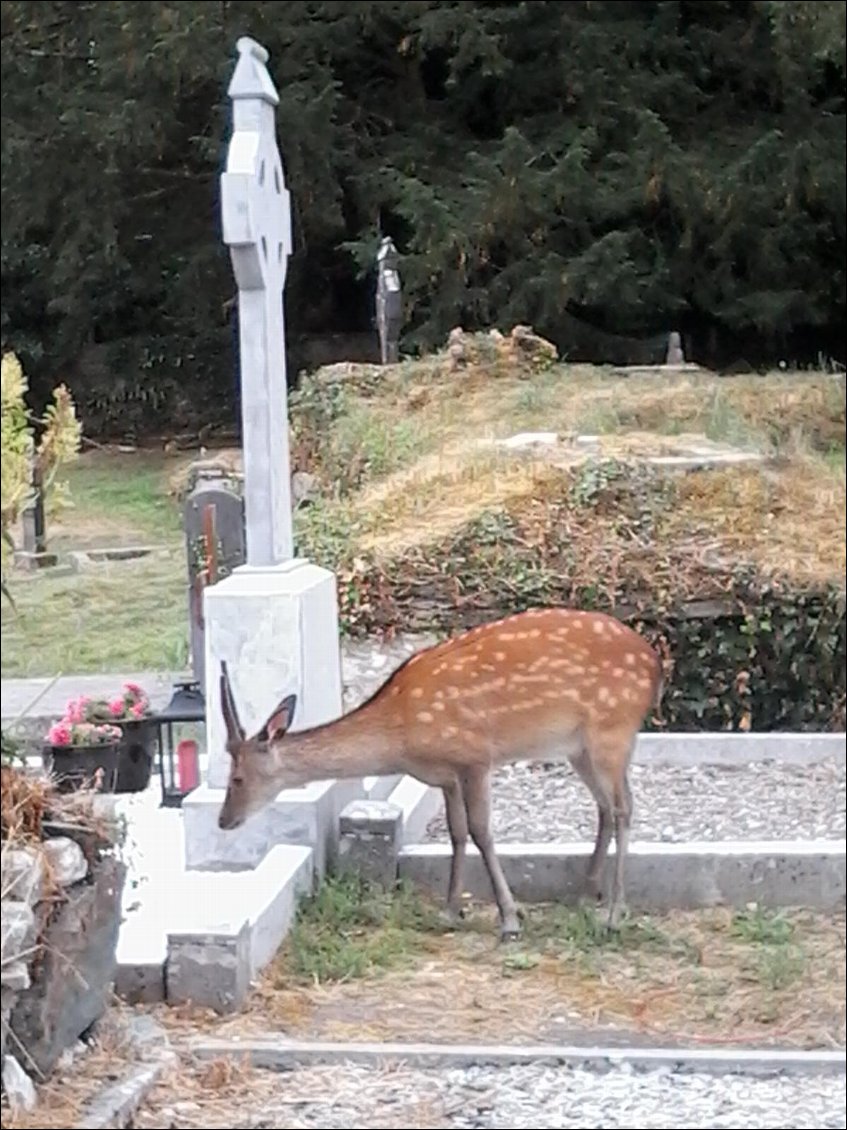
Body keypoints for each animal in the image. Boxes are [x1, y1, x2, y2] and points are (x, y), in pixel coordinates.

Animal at [219, 605, 668, 940]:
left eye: (237, 778)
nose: (224, 820)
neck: (402, 737)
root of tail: (655, 665)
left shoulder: (475, 756)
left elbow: (482, 832)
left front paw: (509, 919)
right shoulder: (446, 775)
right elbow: (457, 832)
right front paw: (451, 909)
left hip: (611, 729)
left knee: (624, 809)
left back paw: (614, 912)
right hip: (580, 747)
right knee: (606, 807)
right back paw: (584, 894)